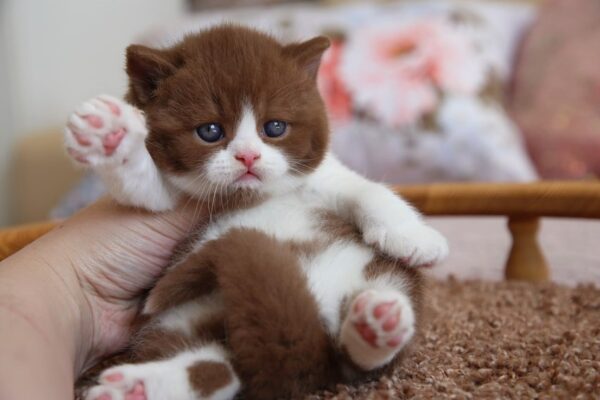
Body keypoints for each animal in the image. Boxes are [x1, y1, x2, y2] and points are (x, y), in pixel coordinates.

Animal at [65, 24, 448, 400]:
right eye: (210, 131)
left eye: (274, 127)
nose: (248, 156)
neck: (252, 196)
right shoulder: (171, 198)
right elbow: (142, 184)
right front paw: (111, 134)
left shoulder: (321, 177)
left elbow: (365, 189)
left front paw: (413, 237)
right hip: (176, 319)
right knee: (219, 366)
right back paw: (137, 386)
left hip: (383, 276)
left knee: (354, 356)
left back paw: (377, 323)